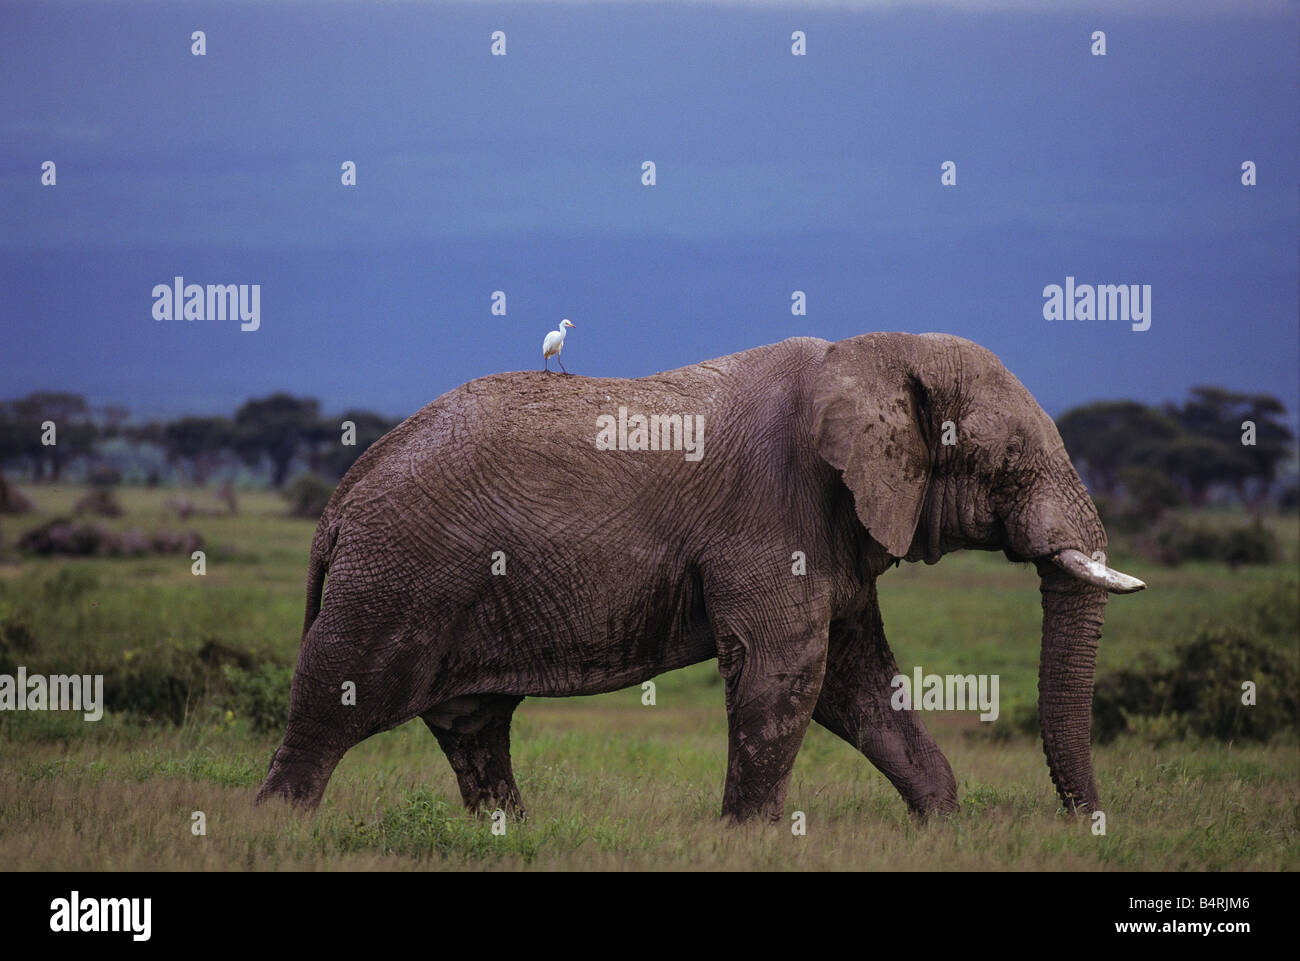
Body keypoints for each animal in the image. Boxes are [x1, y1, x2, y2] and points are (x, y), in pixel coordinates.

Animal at [258, 332, 1144, 827]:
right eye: (1010, 461)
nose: (1087, 826)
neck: (873, 354)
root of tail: (339, 499)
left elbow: (857, 683)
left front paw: (946, 826)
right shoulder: (775, 513)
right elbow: (788, 673)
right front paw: (749, 838)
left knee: (473, 726)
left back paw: (510, 835)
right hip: (396, 576)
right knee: (334, 700)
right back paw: (280, 829)